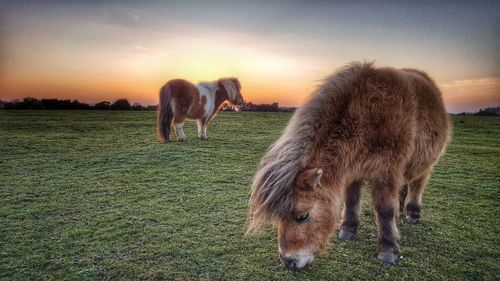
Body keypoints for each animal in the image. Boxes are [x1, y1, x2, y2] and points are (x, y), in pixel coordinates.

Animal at [248, 61, 452, 270]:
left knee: (417, 185)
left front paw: (388, 250)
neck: (367, 115)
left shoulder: (386, 173)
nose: (288, 261)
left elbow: (385, 210)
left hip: (424, 164)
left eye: (303, 216)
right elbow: (352, 200)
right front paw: (348, 229)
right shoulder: (353, 171)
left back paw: (412, 213)